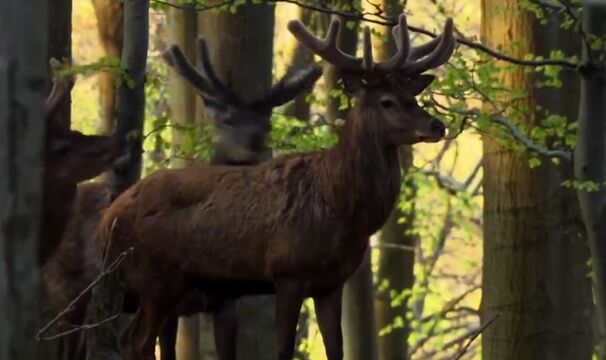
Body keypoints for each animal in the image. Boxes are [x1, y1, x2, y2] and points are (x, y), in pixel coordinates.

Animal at [42, 40, 324, 360]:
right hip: (68, 290)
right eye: (227, 120)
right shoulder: (170, 299)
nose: (256, 147)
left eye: (268, 125)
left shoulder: (225, 301)